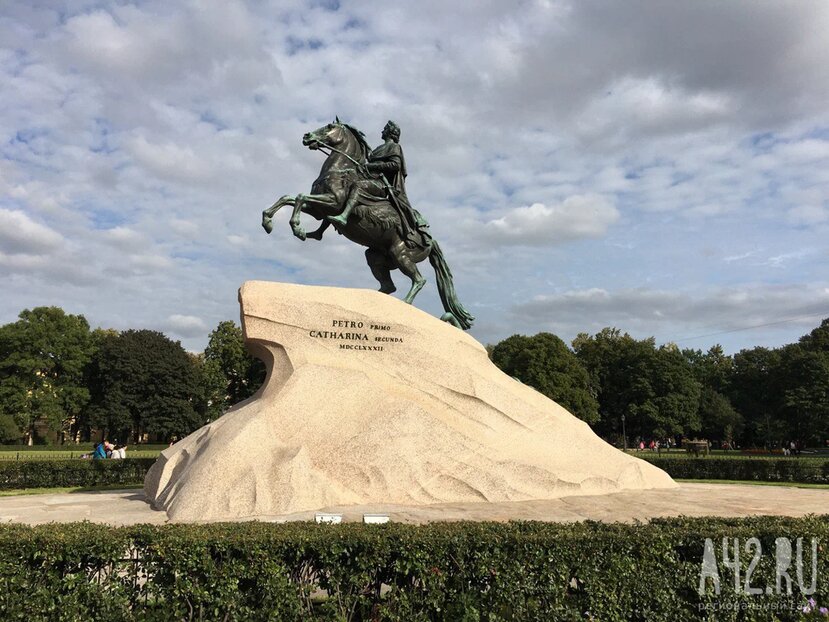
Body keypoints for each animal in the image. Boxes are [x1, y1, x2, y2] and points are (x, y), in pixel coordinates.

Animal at [262, 119, 476, 330]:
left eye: (330, 127)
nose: (307, 136)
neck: (340, 169)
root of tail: (431, 241)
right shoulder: (318, 209)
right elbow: (288, 198)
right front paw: (268, 221)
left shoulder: (332, 203)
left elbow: (299, 197)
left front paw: (297, 227)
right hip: (375, 255)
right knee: (389, 286)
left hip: (401, 254)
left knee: (419, 280)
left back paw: (405, 304)